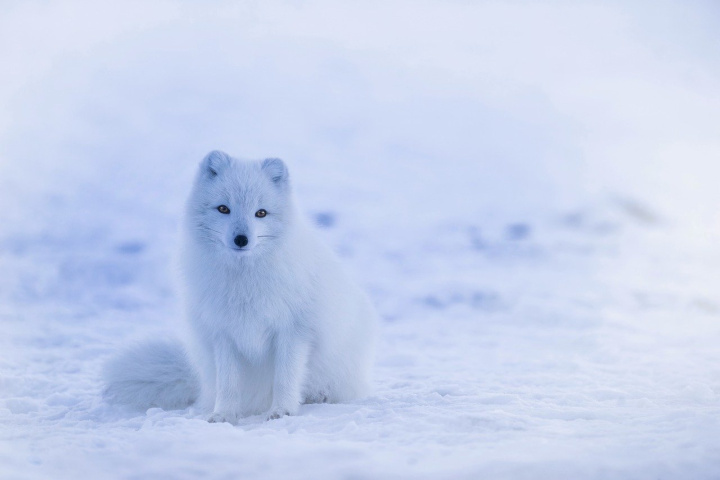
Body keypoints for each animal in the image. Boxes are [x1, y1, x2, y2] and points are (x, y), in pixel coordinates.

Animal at [105, 152, 382, 422]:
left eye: (261, 213)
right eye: (223, 208)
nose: (241, 239)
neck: (244, 281)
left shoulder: (294, 331)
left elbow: (285, 377)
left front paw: (282, 411)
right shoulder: (223, 333)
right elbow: (228, 383)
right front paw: (224, 415)